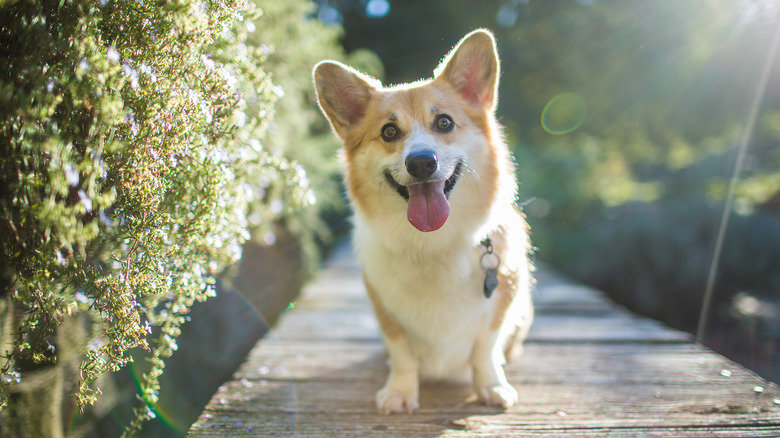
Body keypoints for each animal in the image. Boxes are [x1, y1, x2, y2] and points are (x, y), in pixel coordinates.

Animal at [314, 28, 532, 414]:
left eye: (444, 122)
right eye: (389, 132)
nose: (421, 163)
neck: (433, 242)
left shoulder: (501, 304)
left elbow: (485, 350)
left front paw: (491, 386)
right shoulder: (385, 312)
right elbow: (402, 355)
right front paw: (399, 392)